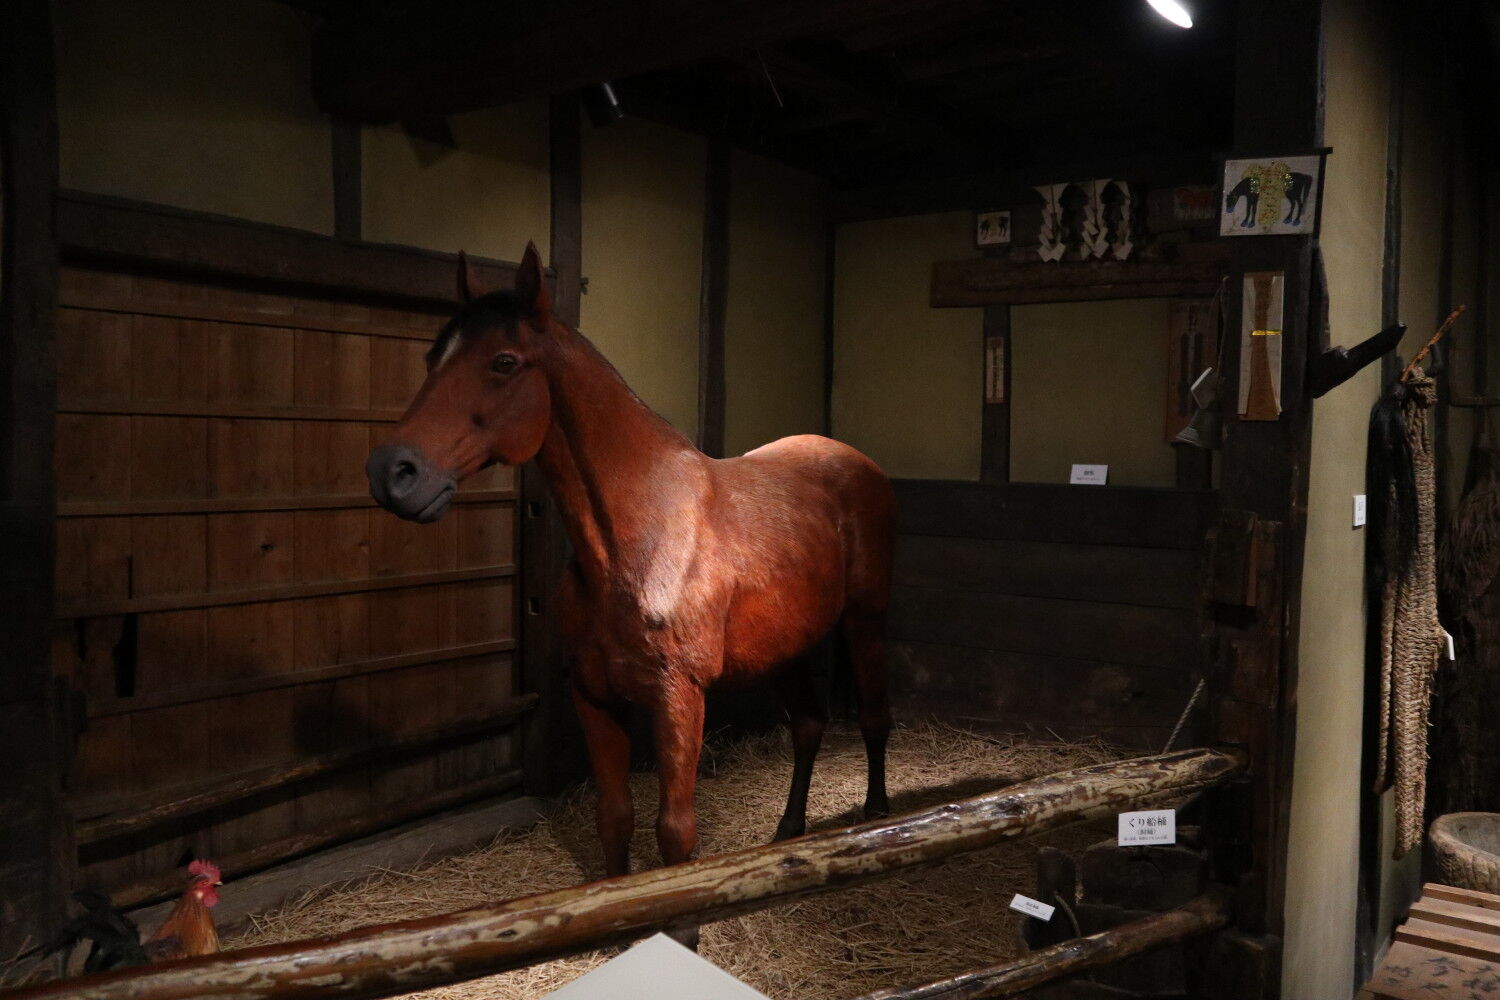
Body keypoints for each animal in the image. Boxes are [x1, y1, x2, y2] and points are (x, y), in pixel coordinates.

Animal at [366, 245, 895, 910]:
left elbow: (675, 834)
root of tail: (857, 461)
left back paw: (878, 818)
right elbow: (614, 818)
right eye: (433, 357)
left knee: (873, 717)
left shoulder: (678, 699)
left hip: (865, 622)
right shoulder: (596, 696)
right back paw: (789, 829)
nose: (392, 472)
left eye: (504, 362)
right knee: (808, 725)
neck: (635, 542)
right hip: (787, 646)